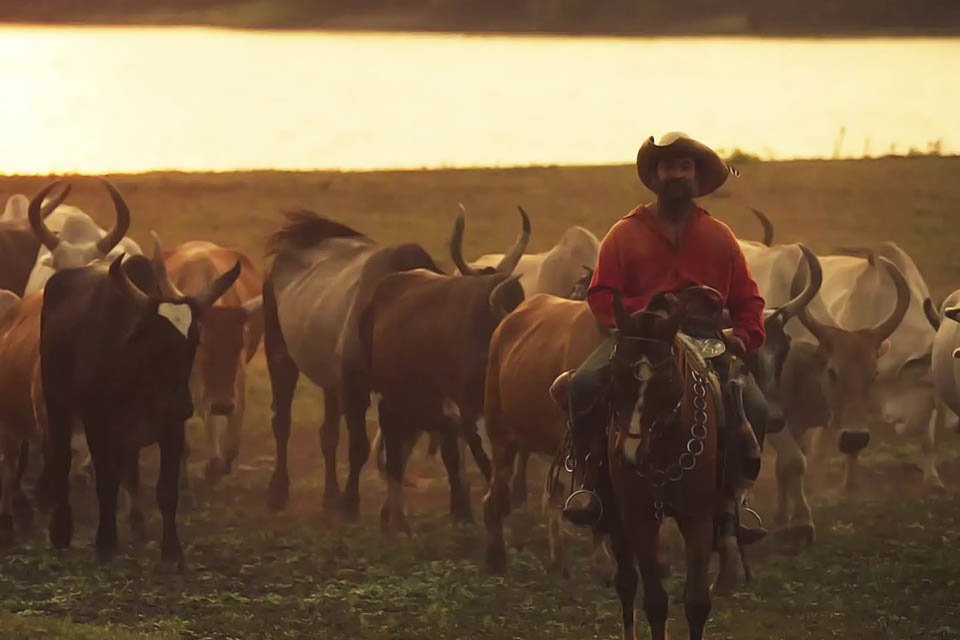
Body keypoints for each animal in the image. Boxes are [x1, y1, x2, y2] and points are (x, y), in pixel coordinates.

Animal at [163, 239, 264, 480]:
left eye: (240, 345)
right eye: (201, 343)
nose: (222, 406)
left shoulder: (236, 385)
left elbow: (232, 446)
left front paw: (217, 466)